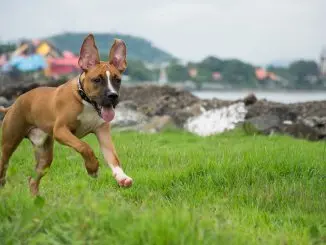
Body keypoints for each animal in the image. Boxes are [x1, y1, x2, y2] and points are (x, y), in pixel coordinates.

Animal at [0, 34, 132, 195]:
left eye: (117, 80)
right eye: (97, 80)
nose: (113, 95)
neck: (86, 101)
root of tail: (12, 105)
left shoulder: (103, 133)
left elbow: (113, 157)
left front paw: (122, 177)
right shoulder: (61, 130)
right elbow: (84, 146)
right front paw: (92, 168)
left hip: (44, 156)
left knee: (33, 179)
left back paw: (35, 197)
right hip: (9, 143)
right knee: (4, 165)